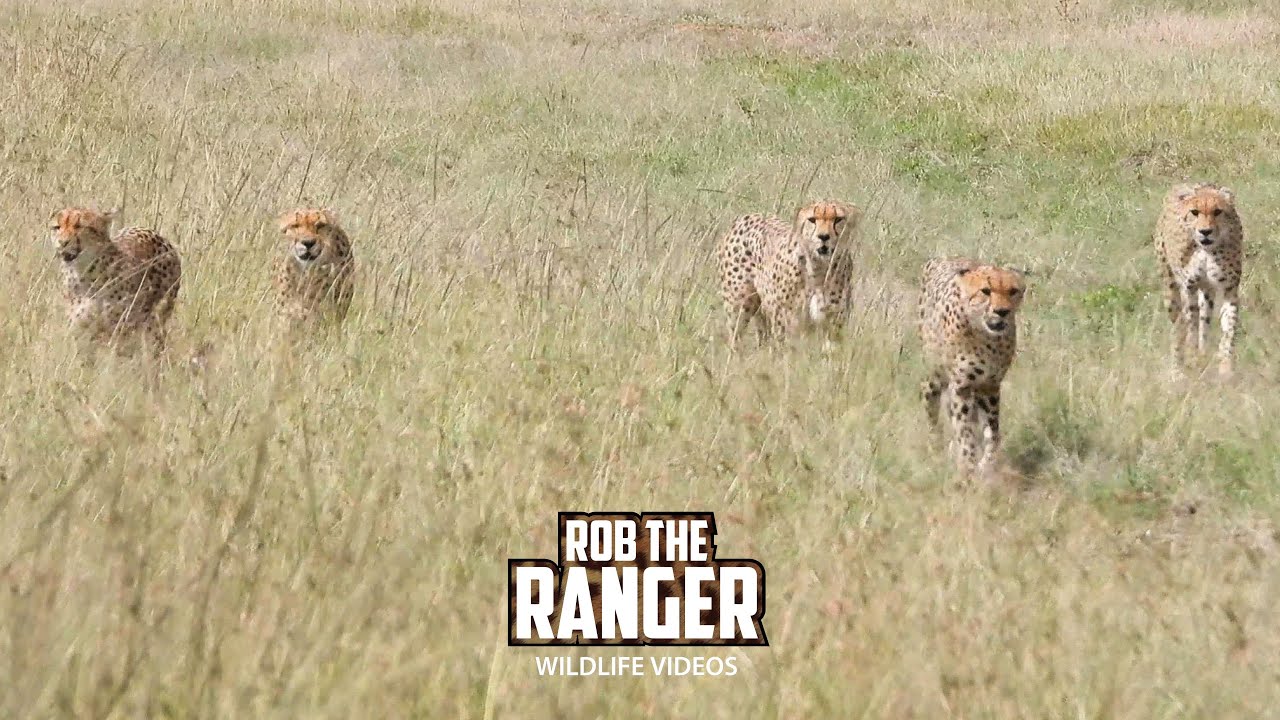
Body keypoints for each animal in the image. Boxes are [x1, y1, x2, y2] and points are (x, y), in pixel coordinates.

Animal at [48, 207, 181, 357]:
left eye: (79, 226)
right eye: (57, 227)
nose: (62, 242)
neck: (84, 274)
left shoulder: (118, 329)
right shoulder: (81, 330)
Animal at [717, 200, 861, 346]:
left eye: (838, 219)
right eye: (812, 220)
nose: (823, 236)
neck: (819, 268)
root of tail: (748, 216)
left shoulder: (833, 325)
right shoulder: (787, 323)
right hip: (739, 306)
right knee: (735, 337)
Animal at [919, 257, 1026, 477]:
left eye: (1013, 291)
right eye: (986, 290)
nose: (1002, 312)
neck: (987, 338)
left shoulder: (990, 386)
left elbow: (992, 433)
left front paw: (986, 464)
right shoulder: (962, 386)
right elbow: (964, 431)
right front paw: (967, 465)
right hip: (934, 375)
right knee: (931, 405)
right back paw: (936, 446)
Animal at [1153, 182, 1244, 378]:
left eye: (1218, 211)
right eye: (1194, 212)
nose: (1205, 231)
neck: (1207, 251)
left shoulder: (1230, 289)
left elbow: (1229, 328)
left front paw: (1226, 367)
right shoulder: (1189, 287)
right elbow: (1190, 326)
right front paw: (1191, 357)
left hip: (1207, 292)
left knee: (1204, 321)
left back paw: (1203, 355)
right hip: (1170, 287)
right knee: (1178, 327)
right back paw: (1178, 369)